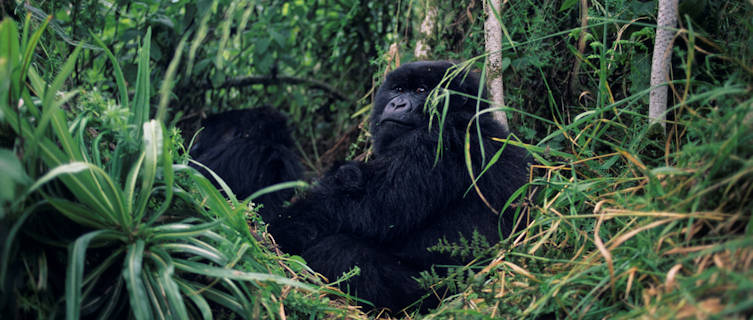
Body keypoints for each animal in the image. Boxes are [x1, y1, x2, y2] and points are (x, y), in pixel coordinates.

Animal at [268, 61, 528, 312]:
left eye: (421, 91)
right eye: (399, 89)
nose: (397, 103)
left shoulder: (434, 142)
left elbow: (363, 209)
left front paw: (277, 230)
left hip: (439, 291)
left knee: (339, 250)